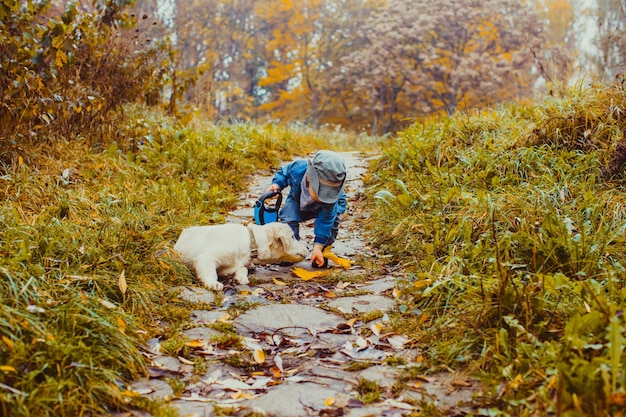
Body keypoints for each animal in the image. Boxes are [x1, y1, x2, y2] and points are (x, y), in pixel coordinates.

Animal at [173, 223, 308, 290]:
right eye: (293, 236)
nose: (307, 248)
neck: (251, 242)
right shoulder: (206, 257)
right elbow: (210, 272)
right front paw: (212, 283)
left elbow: (242, 268)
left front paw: (240, 277)